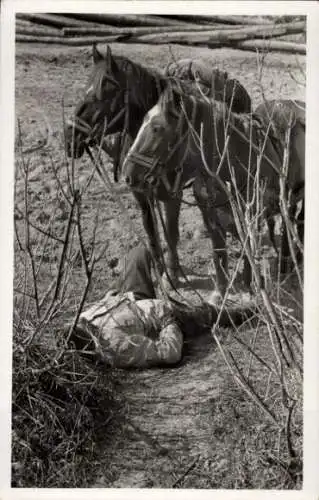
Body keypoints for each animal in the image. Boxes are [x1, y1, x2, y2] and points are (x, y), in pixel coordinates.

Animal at [65, 44, 252, 286]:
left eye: (107, 91)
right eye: (87, 85)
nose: (69, 135)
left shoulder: (171, 195)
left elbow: (171, 234)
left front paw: (172, 275)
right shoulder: (141, 194)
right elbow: (152, 233)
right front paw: (157, 272)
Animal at [122, 87, 304, 296]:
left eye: (157, 128)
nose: (127, 174)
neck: (236, 159)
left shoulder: (252, 215)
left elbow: (248, 246)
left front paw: (250, 285)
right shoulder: (211, 215)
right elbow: (218, 250)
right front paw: (221, 292)